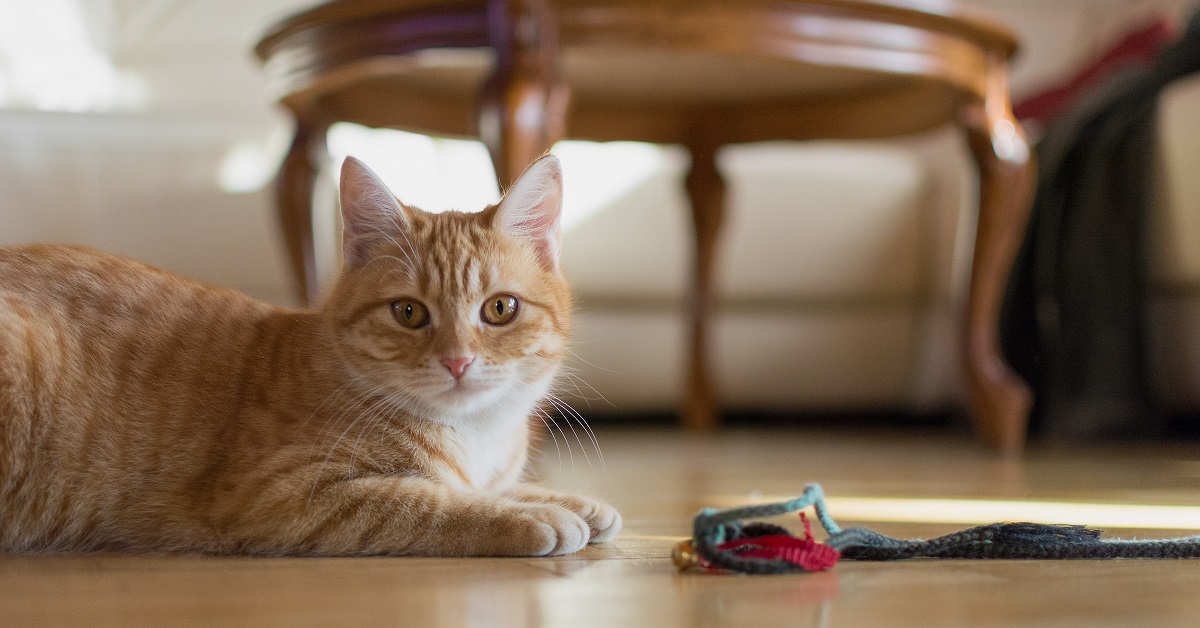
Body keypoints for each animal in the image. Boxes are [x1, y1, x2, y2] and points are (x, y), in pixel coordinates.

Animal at [0, 156, 619, 554]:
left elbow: (495, 486)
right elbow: (431, 500)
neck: (478, 434)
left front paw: (572, 501)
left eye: (499, 309)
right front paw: (534, 515)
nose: (458, 361)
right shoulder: (282, 494)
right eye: (409, 313)